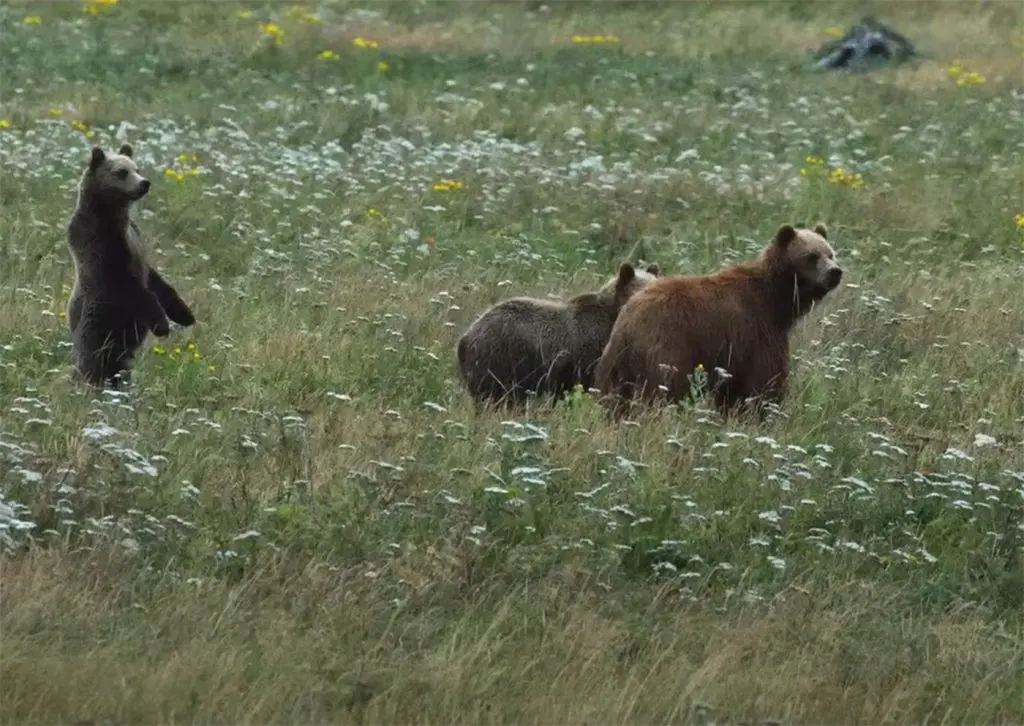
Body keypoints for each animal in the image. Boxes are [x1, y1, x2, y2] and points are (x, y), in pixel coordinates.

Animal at [66, 143, 196, 388]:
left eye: (137, 168)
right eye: (121, 172)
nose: (144, 183)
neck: (112, 214)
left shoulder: (134, 237)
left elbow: (155, 278)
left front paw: (185, 314)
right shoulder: (101, 246)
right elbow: (131, 286)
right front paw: (162, 325)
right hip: (99, 326)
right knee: (93, 361)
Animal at [594, 224, 843, 418]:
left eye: (831, 253)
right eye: (811, 256)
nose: (835, 272)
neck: (777, 300)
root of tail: (628, 323)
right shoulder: (756, 330)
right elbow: (765, 381)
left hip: (615, 362)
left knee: (613, 399)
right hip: (668, 347)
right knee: (662, 390)